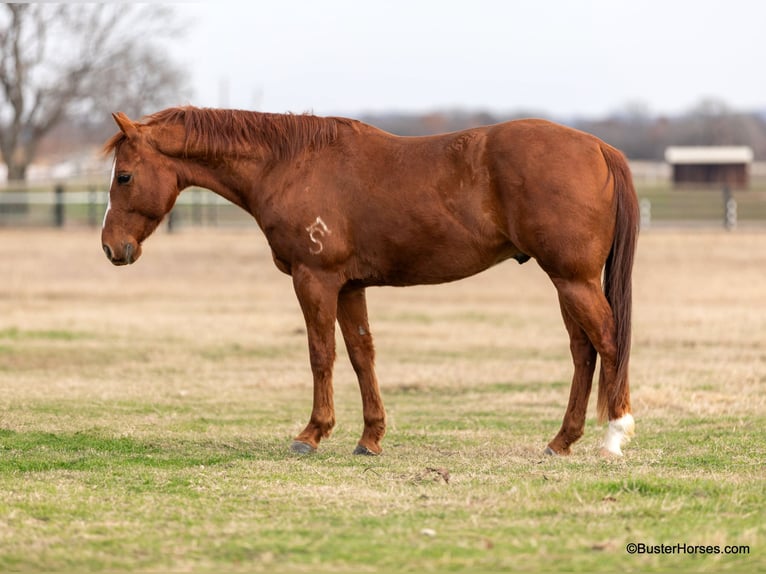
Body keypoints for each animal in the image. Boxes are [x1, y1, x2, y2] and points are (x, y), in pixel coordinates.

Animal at [102, 106, 639, 457]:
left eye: (124, 176)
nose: (111, 248)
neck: (291, 164)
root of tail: (598, 146)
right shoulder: (349, 286)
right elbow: (362, 355)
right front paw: (370, 438)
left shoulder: (314, 280)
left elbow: (321, 355)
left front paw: (311, 434)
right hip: (567, 282)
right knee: (583, 351)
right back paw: (561, 441)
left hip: (572, 279)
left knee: (608, 341)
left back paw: (615, 434)